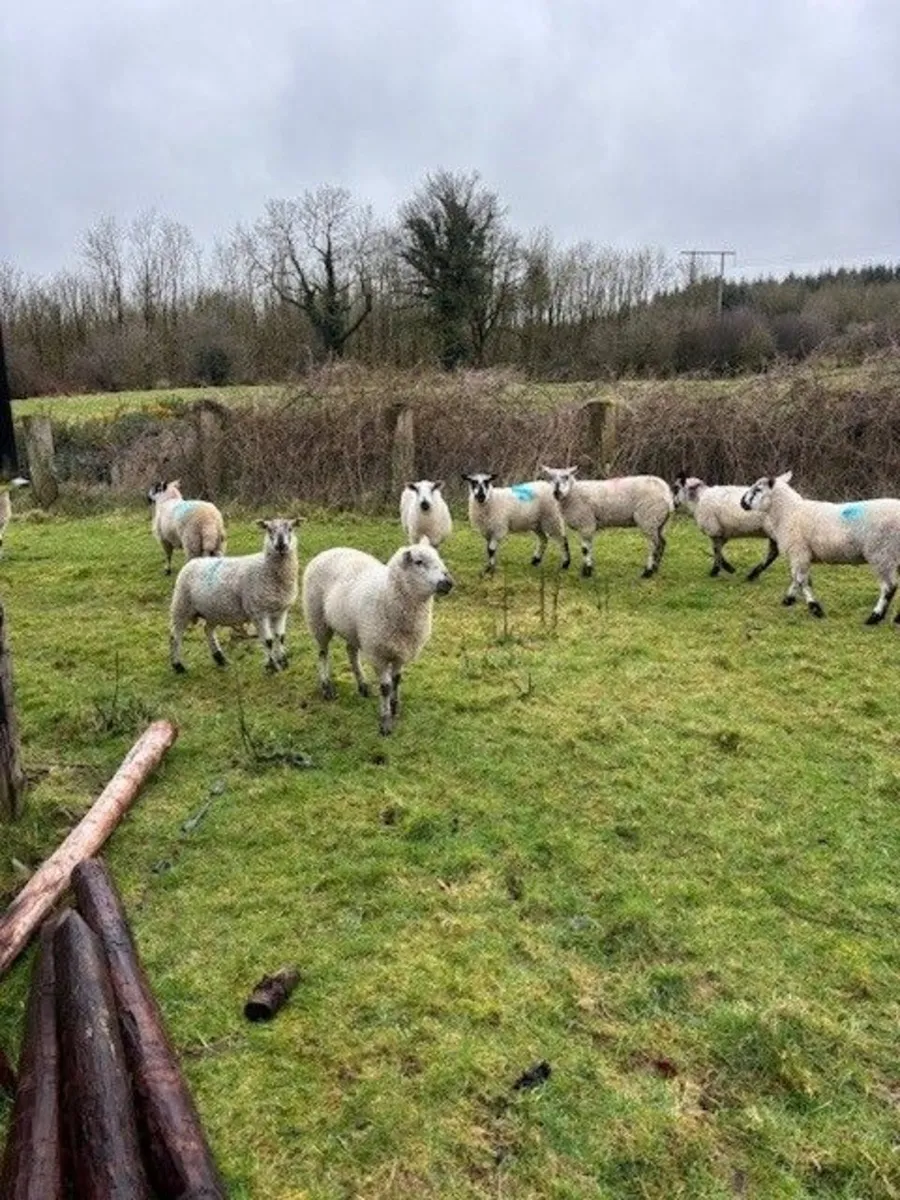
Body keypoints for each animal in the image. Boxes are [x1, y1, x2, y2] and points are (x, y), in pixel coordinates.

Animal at [170, 517, 299, 672]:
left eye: (291, 528)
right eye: (269, 529)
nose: (280, 545)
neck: (266, 568)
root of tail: (192, 562)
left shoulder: (281, 610)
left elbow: (280, 637)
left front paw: (283, 663)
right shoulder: (258, 612)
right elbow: (268, 641)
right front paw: (272, 666)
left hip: (213, 610)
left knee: (208, 630)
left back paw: (220, 659)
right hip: (181, 605)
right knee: (175, 636)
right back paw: (178, 666)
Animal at [301, 540, 453, 735]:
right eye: (419, 562)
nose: (448, 582)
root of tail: (329, 550)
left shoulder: (400, 651)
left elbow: (396, 680)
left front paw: (395, 707)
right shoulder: (378, 654)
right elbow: (386, 687)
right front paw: (385, 720)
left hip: (354, 629)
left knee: (351, 652)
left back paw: (362, 685)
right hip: (318, 619)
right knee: (322, 654)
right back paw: (327, 687)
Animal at [540, 466, 673, 578]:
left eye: (566, 477)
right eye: (550, 477)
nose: (557, 492)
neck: (573, 493)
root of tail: (666, 492)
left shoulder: (586, 523)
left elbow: (585, 549)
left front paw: (586, 572)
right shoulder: (588, 525)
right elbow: (589, 547)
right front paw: (589, 569)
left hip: (648, 518)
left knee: (653, 545)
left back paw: (647, 572)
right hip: (659, 523)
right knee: (662, 543)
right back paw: (655, 569)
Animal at [740, 470, 900, 622]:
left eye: (758, 489)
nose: (742, 502)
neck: (789, 512)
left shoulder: (799, 551)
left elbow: (802, 581)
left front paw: (815, 609)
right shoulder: (800, 555)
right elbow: (797, 578)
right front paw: (789, 599)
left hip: (882, 553)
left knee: (889, 587)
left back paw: (875, 617)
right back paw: (896, 618)